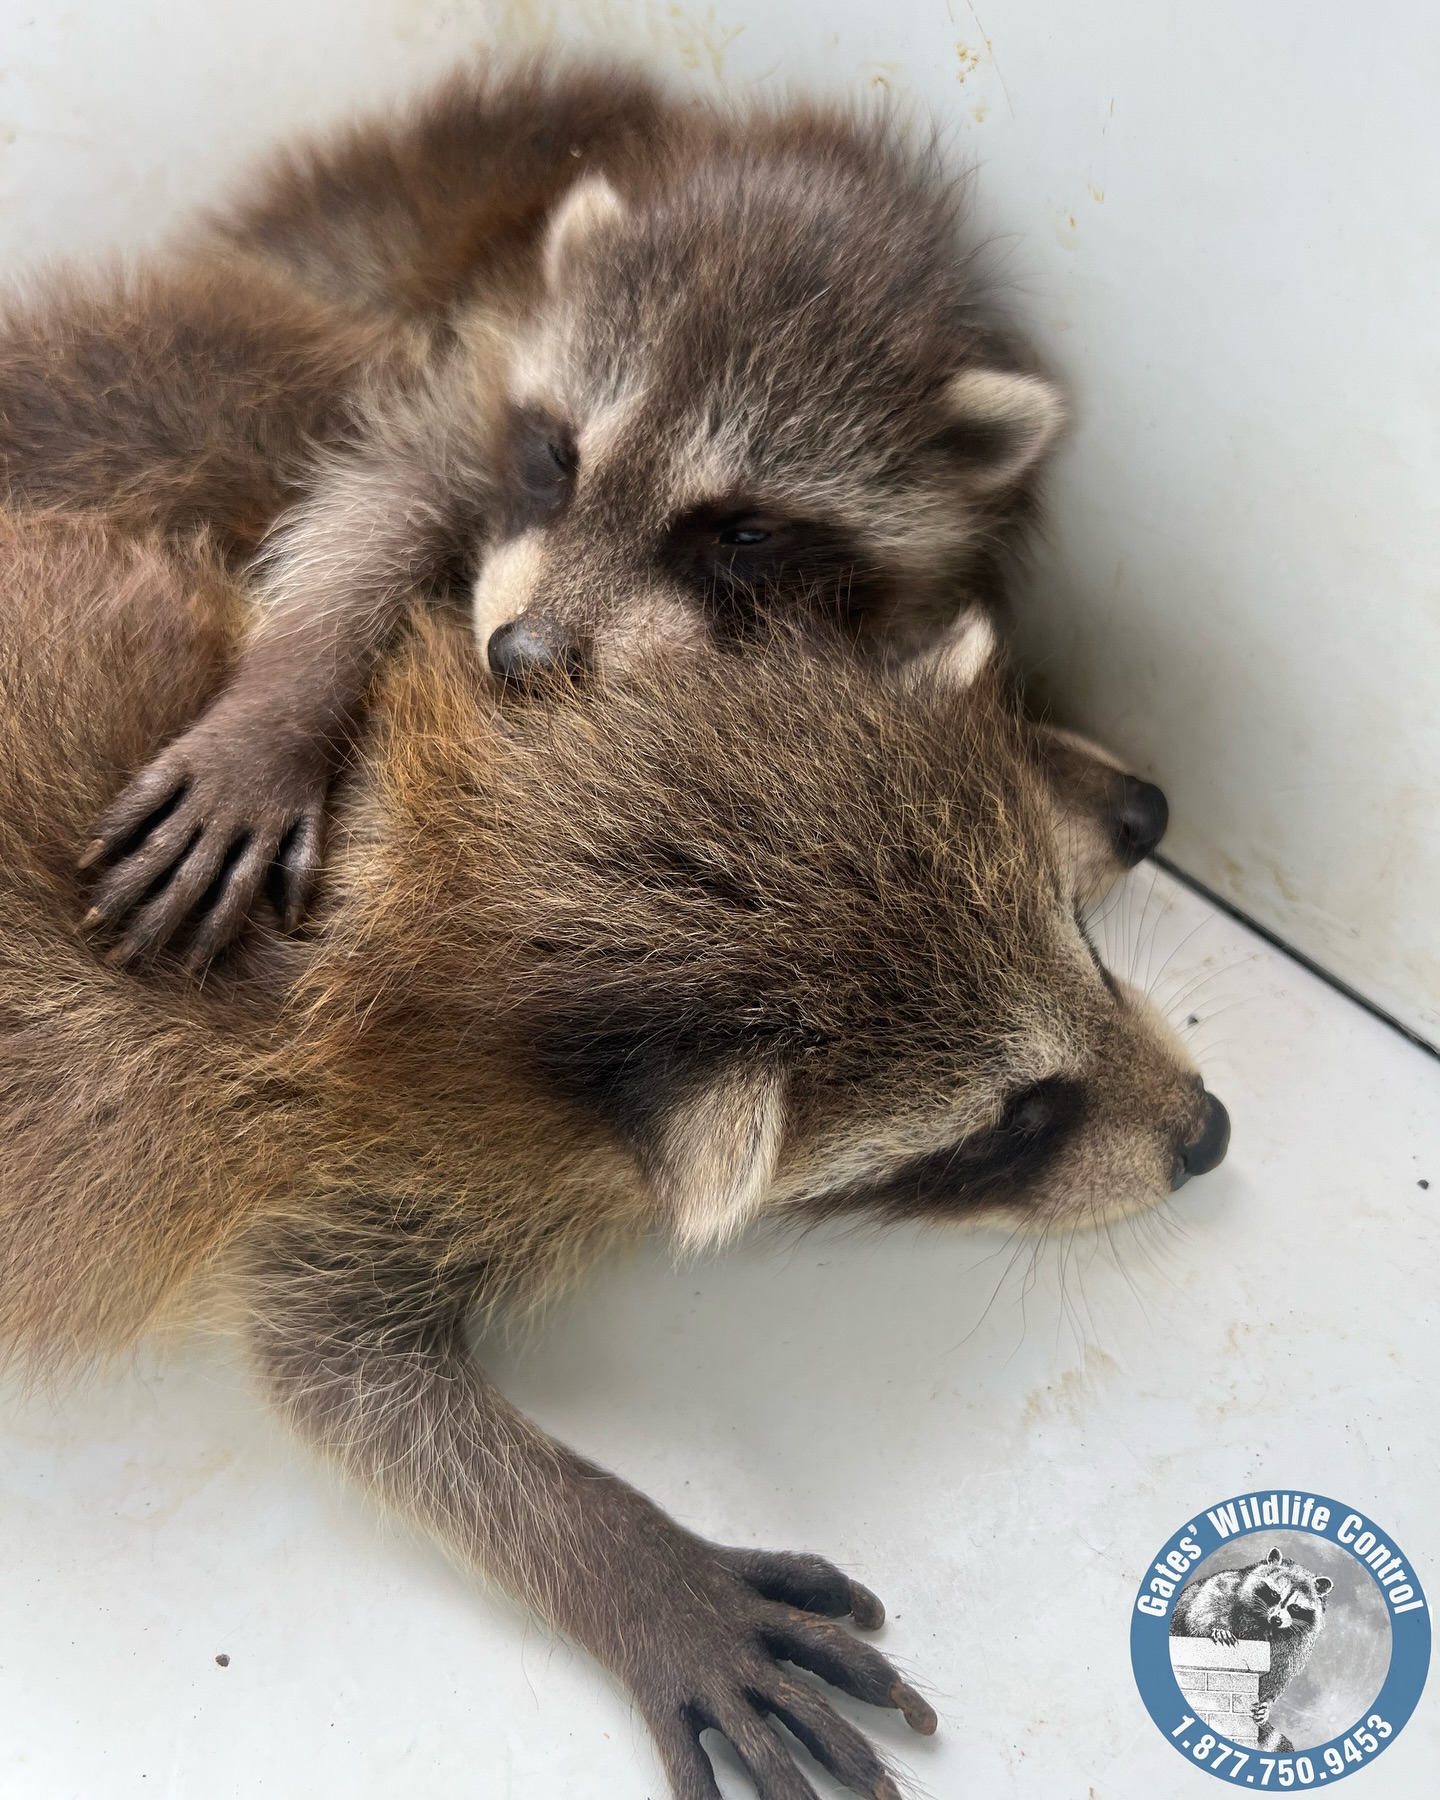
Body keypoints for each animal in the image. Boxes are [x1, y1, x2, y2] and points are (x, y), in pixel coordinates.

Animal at [0, 60, 1074, 961]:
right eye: (558, 456)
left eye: (744, 534)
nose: (523, 658)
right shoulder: (470, 351)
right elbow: (376, 495)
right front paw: (281, 707)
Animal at [0, 511, 1228, 1799]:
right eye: (1016, 1122)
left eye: (1084, 943)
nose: (1209, 1133)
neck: (486, 887)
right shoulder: (332, 1147)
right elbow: (342, 1381)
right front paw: (638, 1568)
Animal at [1172, 1549, 1333, 1752]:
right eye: (1274, 1594)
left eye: (1295, 1607)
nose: (1277, 1619)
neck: (1266, 1623)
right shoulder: (1228, 1585)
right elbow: (1205, 1606)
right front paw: (1217, 1628)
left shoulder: (1298, 1642)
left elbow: (1279, 1672)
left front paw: (1267, 1702)